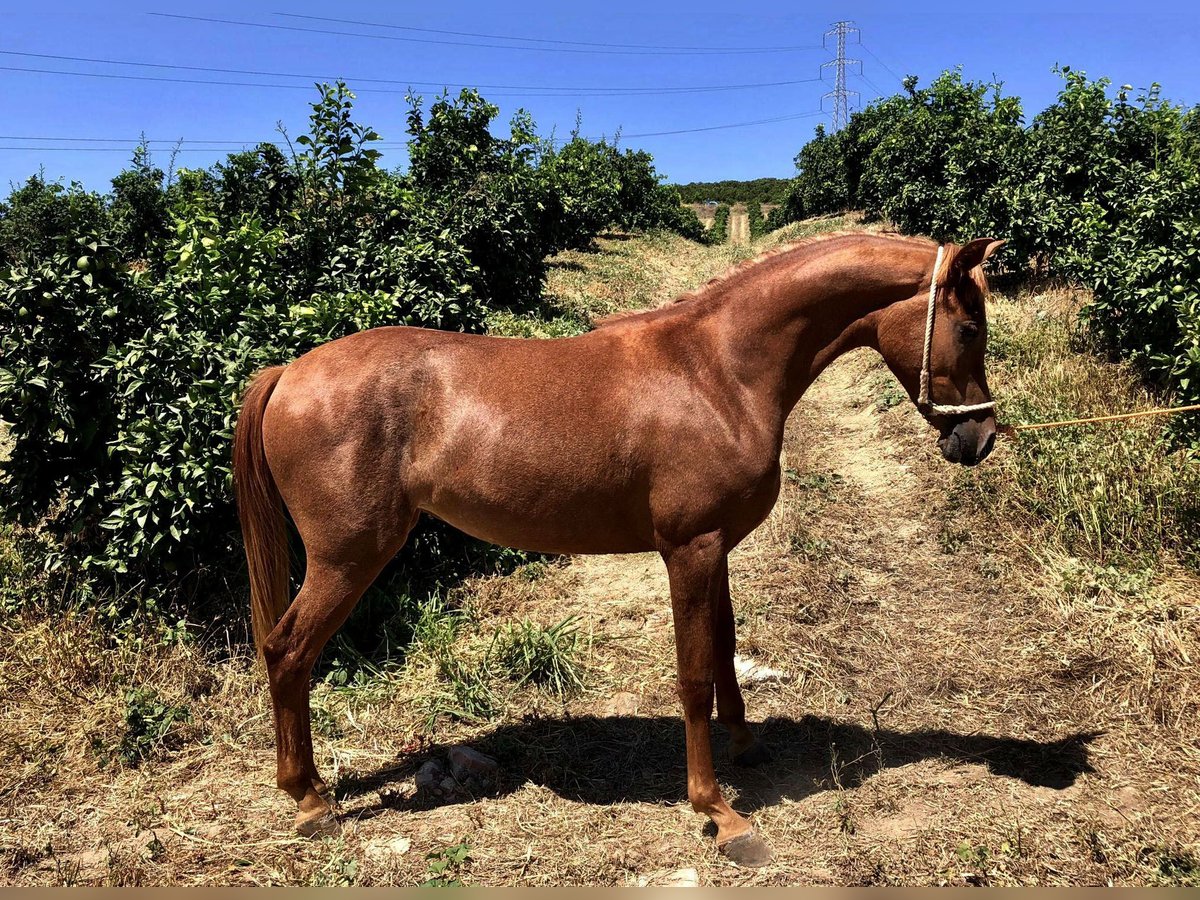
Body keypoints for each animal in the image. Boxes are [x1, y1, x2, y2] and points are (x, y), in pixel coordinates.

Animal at [231, 230, 1003, 868]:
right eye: (968, 327)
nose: (981, 439)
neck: (718, 369)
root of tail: (288, 372)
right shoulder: (689, 549)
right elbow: (693, 675)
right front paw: (720, 814)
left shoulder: (716, 547)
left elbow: (725, 647)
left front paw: (745, 746)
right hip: (347, 558)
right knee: (288, 653)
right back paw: (310, 801)